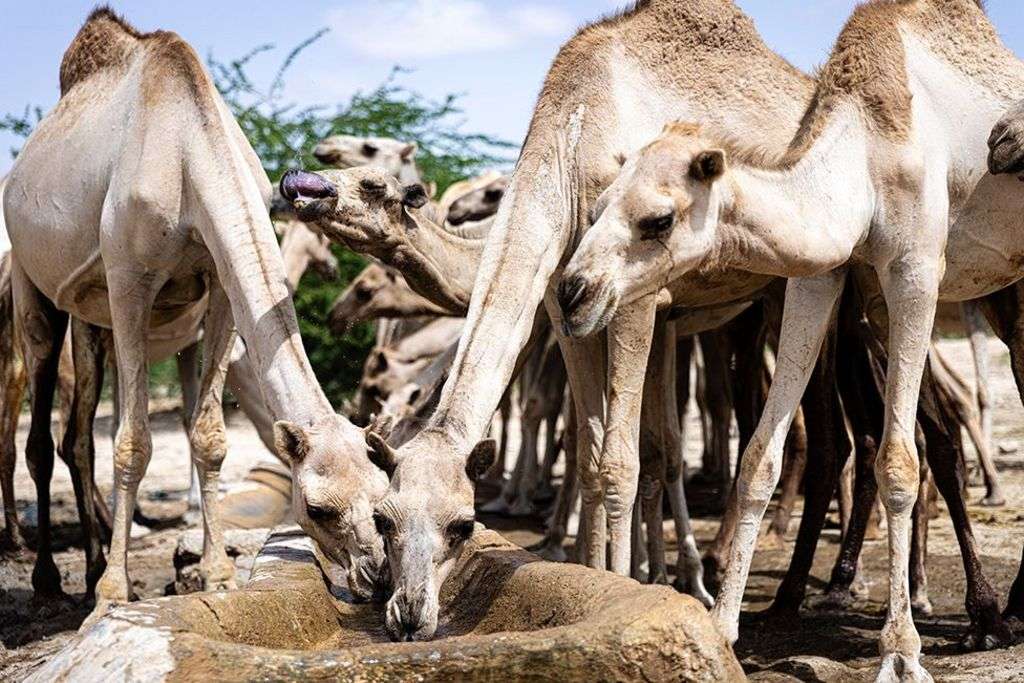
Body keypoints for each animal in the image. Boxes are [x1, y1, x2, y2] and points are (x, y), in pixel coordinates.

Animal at [561, 1, 1024, 679]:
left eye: (658, 219)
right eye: (596, 209)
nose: (573, 291)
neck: (868, 157)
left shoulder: (916, 267)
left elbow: (898, 460)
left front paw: (901, 652)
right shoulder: (818, 275)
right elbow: (759, 456)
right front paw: (723, 629)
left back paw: (988, 618)